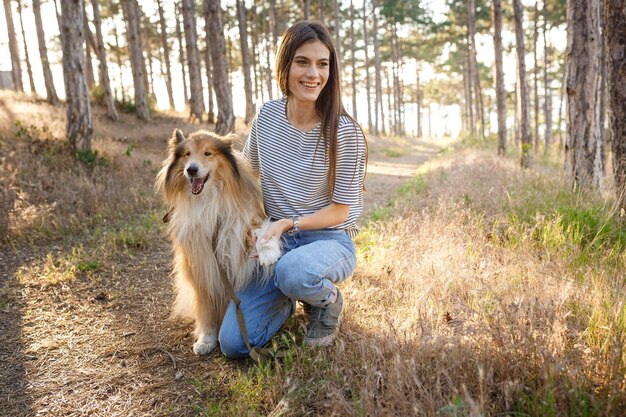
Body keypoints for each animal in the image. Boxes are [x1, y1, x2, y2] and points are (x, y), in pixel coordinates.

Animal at [156, 128, 280, 352]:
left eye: (207, 153)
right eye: (187, 154)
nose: (191, 170)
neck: (208, 201)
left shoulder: (239, 230)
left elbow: (260, 231)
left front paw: (269, 252)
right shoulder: (200, 267)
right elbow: (205, 308)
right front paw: (206, 339)